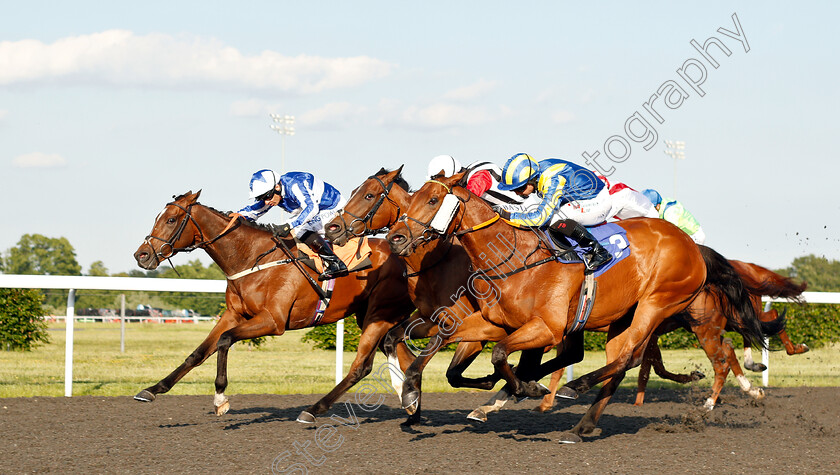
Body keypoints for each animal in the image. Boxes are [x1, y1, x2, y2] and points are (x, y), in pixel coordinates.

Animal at [132, 192, 416, 422]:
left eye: (171, 220)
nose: (141, 255)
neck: (251, 258)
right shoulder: (234, 315)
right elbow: (198, 353)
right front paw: (152, 390)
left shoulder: (273, 320)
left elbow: (225, 341)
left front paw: (220, 398)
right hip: (370, 315)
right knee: (399, 353)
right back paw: (410, 403)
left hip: (378, 313)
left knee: (363, 366)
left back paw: (313, 410)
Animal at [388, 173, 768, 444]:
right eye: (412, 198)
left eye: (433, 199)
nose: (395, 238)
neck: (513, 257)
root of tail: (692, 245)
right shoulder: (492, 322)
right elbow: (447, 343)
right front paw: (410, 394)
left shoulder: (546, 328)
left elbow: (498, 354)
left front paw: (523, 389)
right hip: (622, 317)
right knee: (618, 363)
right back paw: (579, 425)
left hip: (657, 305)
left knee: (628, 358)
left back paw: (575, 388)